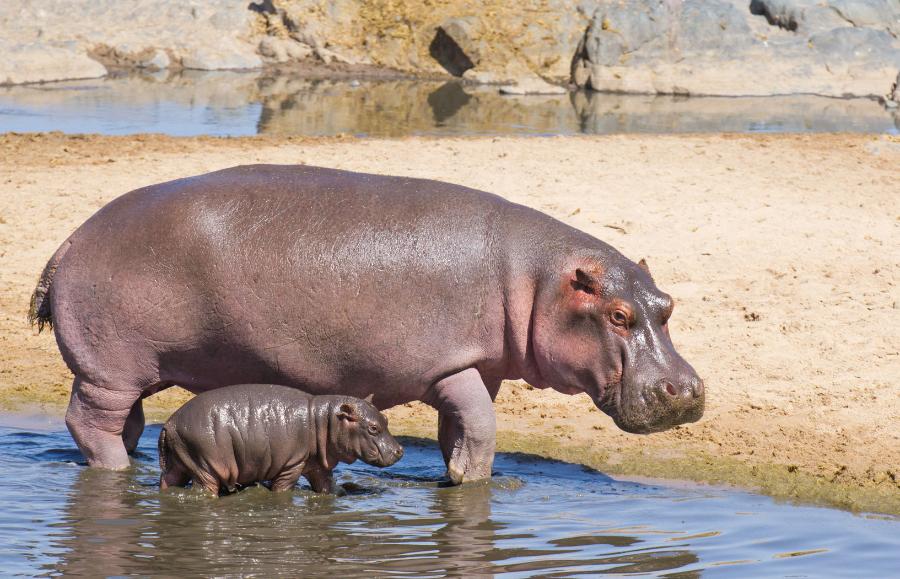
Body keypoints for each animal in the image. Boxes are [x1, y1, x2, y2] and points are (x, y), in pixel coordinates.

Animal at [28, 164, 708, 484]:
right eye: (618, 315)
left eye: (668, 304)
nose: (687, 390)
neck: (535, 280)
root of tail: (70, 238)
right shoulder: (452, 364)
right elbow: (483, 430)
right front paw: (474, 482)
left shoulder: (476, 368)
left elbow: (463, 430)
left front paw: (455, 475)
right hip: (109, 370)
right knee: (90, 422)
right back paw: (117, 473)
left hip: (132, 372)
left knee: (126, 424)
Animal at [158, 382, 404, 496]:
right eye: (373, 428)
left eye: (385, 419)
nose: (400, 450)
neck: (324, 420)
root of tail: (170, 423)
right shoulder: (291, 465)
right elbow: (283, 489)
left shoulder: (318, 464)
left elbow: (327, 486)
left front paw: (343, 493)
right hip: (205, 466)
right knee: (203, 489)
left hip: (180, 462)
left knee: (168, 480)